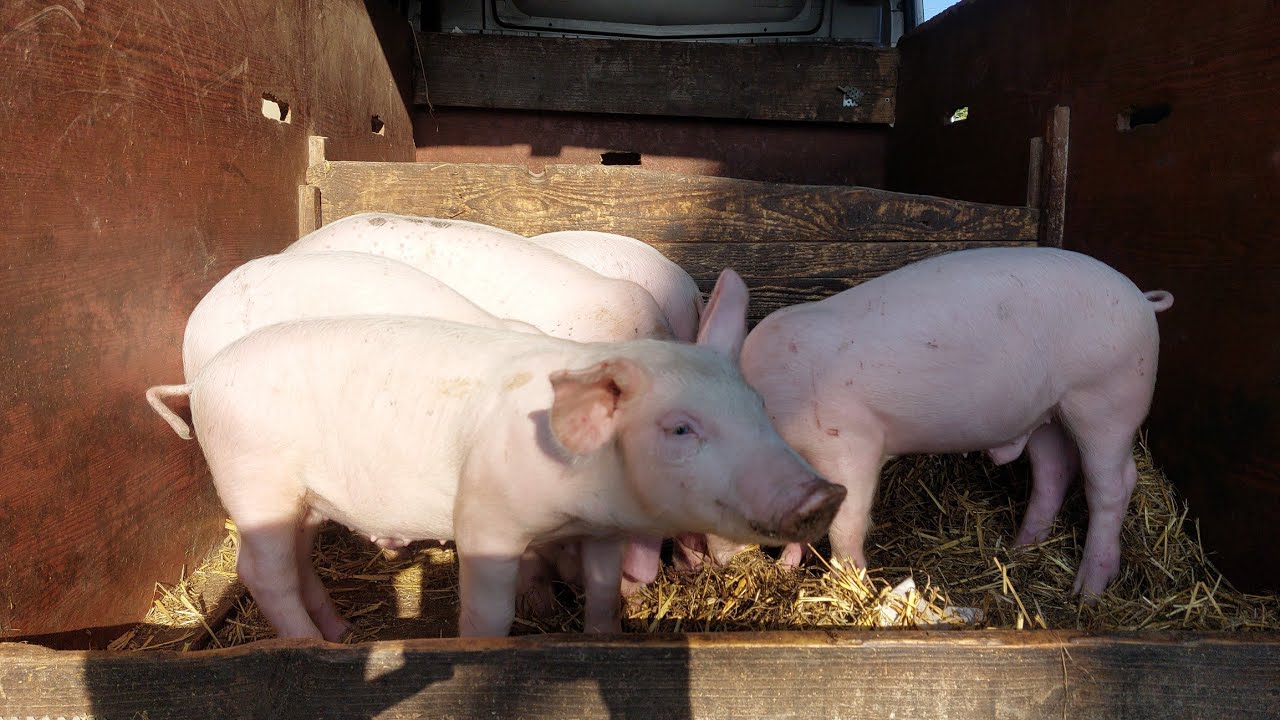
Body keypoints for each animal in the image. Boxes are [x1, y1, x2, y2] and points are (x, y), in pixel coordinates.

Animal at [145, 269, 846, 639]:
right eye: (679, 429)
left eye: (757, 406)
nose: (825, 493)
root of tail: (200, 382)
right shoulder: (485, 517)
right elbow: (489, 608)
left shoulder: (600, 531)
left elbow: (600, 590)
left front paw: (602, 636)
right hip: (252, 477)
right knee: (261, 570)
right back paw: (308, 647)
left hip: (303, 502)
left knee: (292, 561)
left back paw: (341, 636)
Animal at [683, 247, 1174, 599]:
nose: (707, 564)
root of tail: (1142, 299)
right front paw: (787, 565)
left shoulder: (849, 441)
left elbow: (846, 521)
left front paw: (852, 587)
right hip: (1047, 413)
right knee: (1054, 470)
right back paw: (1020, 549)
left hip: (1108, 397)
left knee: (1113, 483)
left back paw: (1087, 591)